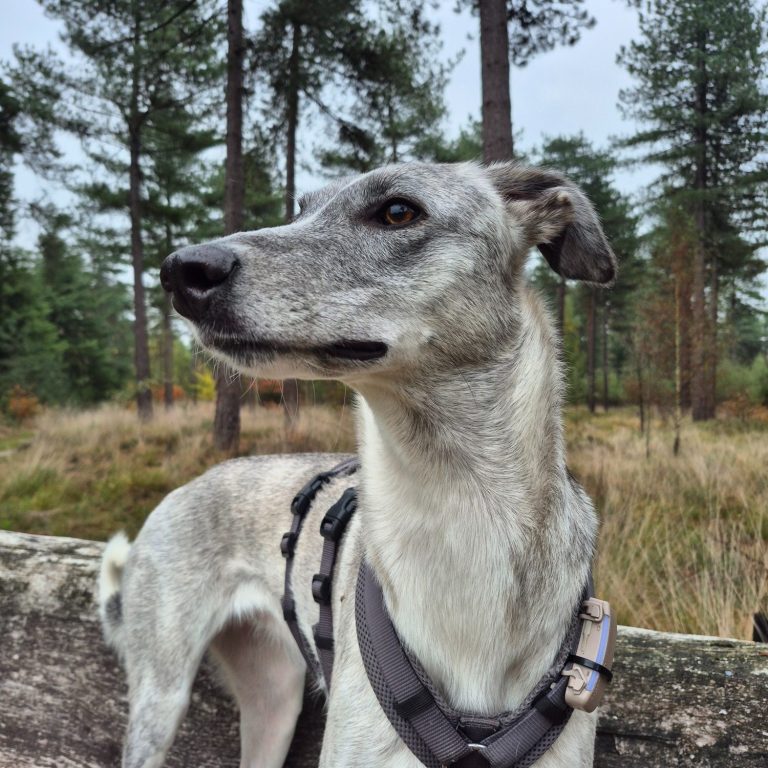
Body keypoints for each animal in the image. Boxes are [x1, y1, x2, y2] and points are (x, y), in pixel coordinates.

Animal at [99, 160, 616, 768]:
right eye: (300, 210)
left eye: (398, 211)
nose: (182, 270)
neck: (458, 517)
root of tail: (185, 487)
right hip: (162, 698)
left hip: (274, 701)